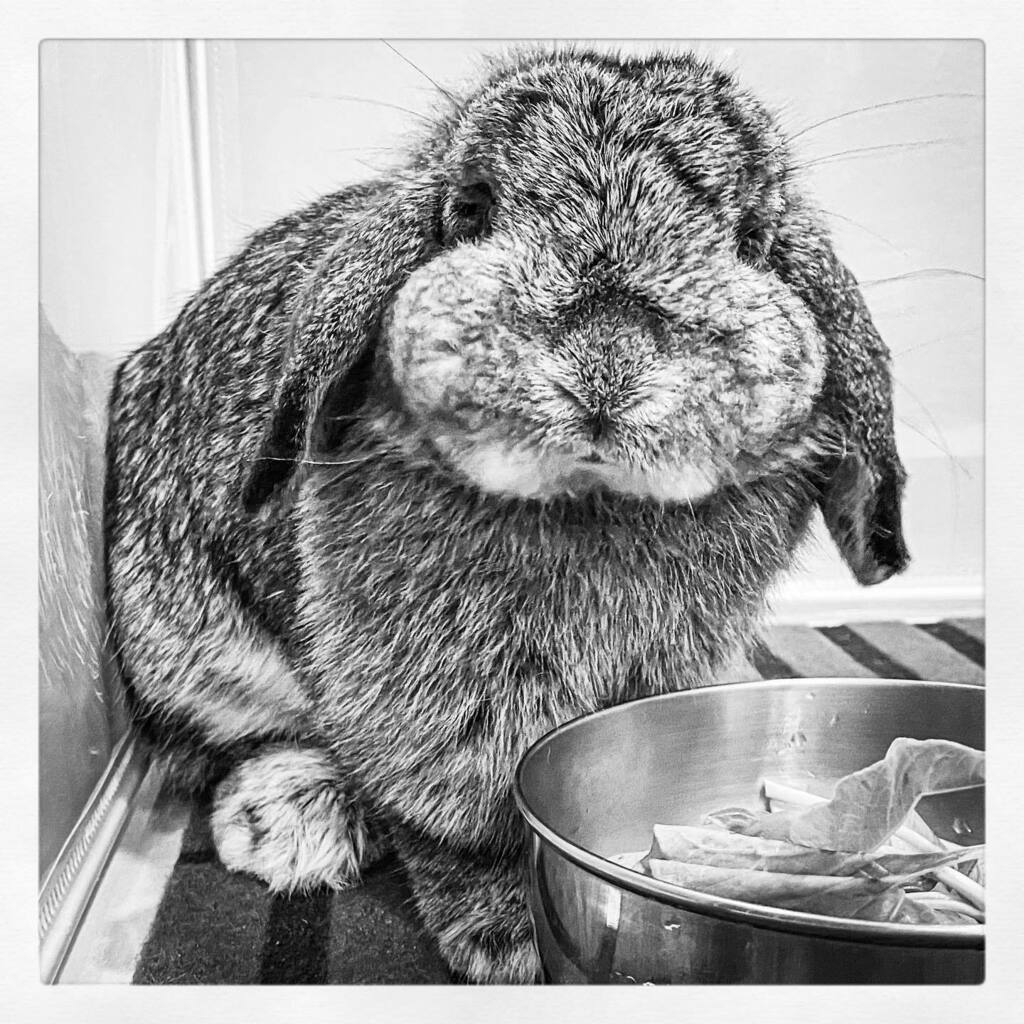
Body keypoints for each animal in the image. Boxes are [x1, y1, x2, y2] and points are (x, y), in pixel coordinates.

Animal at [103, 46, 910, 983]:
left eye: (751, 240)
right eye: (473, 210)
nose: (606, 364)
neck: (591, 496)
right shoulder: (440, 684)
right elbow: (464, 803)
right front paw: (510, 933)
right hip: (188, 643)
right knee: (221, 741)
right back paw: (292, 822)